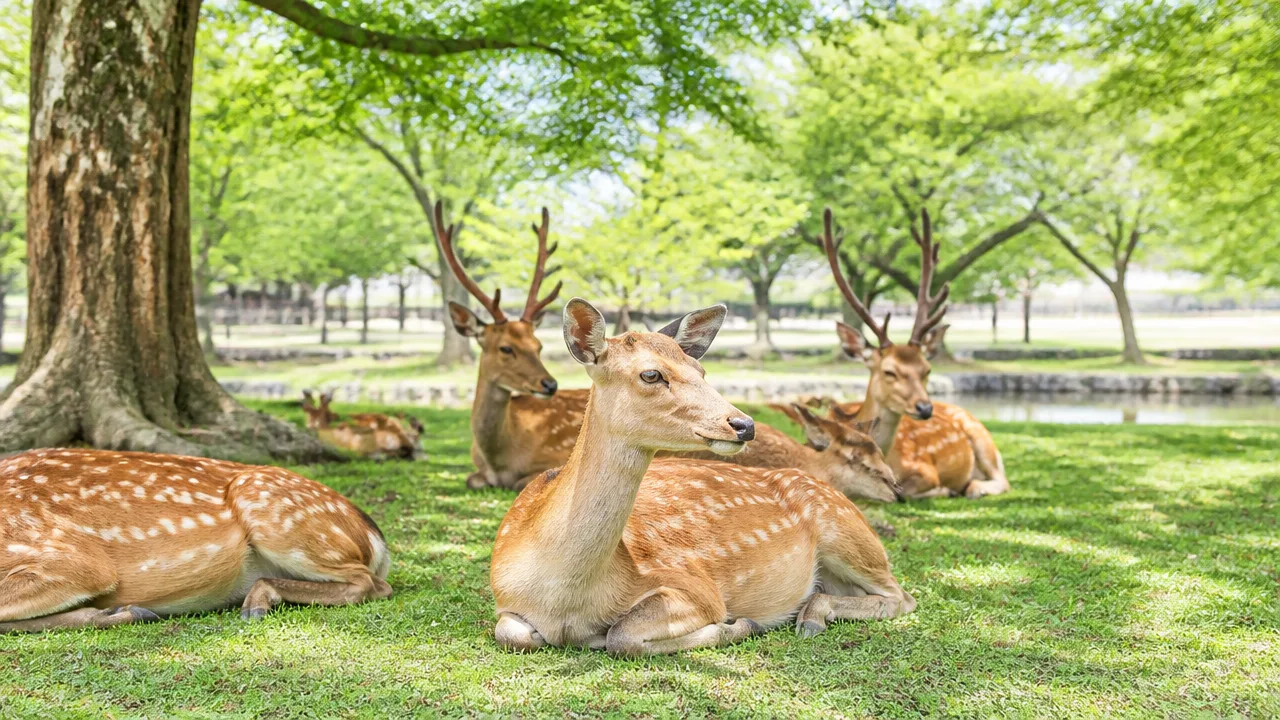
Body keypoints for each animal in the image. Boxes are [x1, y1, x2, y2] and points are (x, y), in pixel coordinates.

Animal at [0, 449, 391, 632]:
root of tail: (375, 534)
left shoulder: (73, 560)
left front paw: (124, 611)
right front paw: (119, 611)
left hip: (268, 502)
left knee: (371, 584)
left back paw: (257, 601)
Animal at [435, 201, 589, 490]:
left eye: (538, 346)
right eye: (506, 348)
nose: (550, 385)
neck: (500, 460)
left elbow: (523, 483)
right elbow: (471, 480)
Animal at [489, 299, 915, 655]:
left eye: (701, 369)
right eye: (651, 374)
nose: (744, 424)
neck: (564, 599)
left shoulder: (696, 587)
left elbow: (622, 636)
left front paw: (740, 625)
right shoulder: (504, 600)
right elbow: (510, 634)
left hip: (847, 533)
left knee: (901, 597)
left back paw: (811, 616)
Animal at [821, 208, 1009, 500]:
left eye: (927, 369)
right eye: (889, 371)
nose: (925, 407)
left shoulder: (924, 468)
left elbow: (907, 492)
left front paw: (944, 489)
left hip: (983, 437)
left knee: (1002, 479)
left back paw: (973, 487)